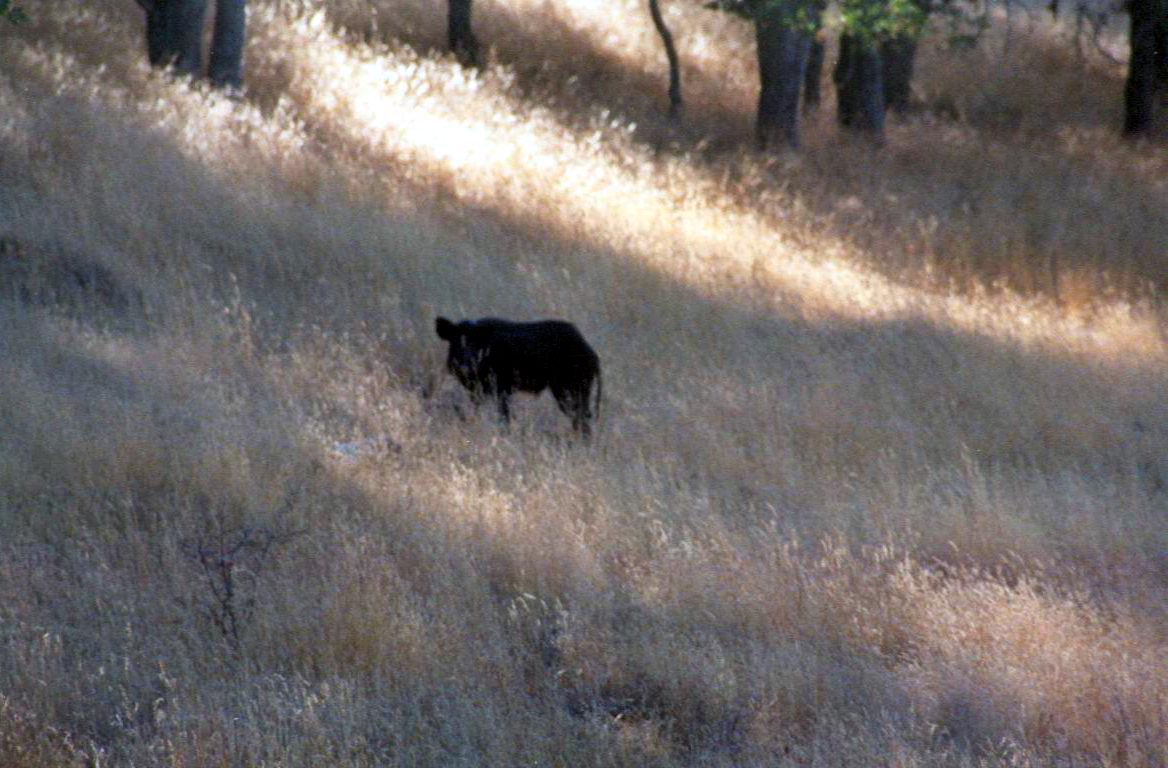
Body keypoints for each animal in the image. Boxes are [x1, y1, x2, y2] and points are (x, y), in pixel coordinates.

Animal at [435, 316, 602, 437]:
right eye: (456, 341)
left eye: (476, 343)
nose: (466, 366)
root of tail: (593, 355)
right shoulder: (477, 391)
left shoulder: (503, 388)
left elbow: (504, 414)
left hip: (572, 388)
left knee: (581, 415)